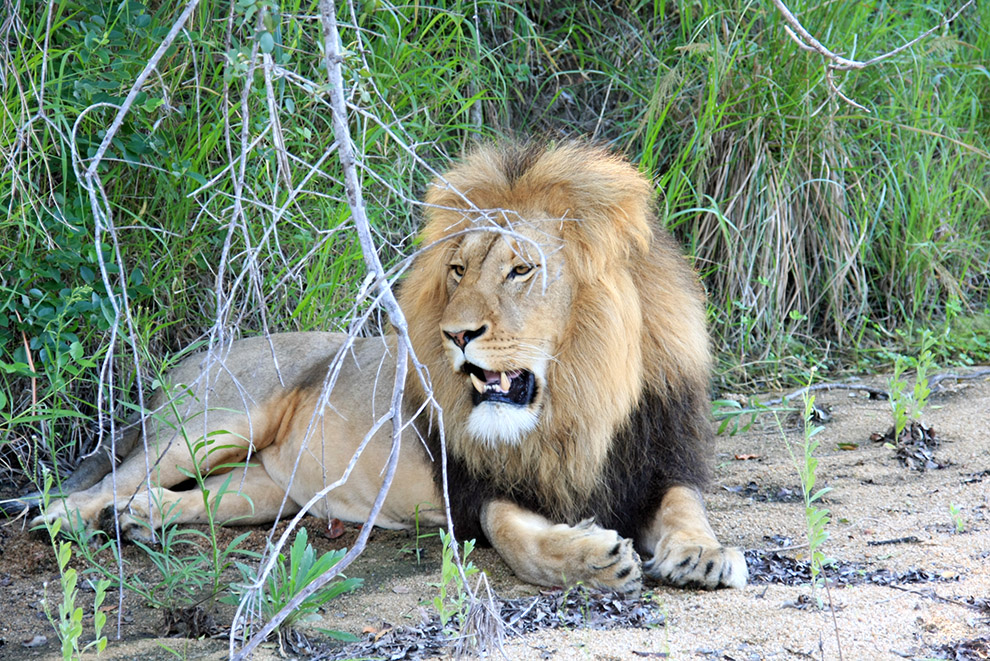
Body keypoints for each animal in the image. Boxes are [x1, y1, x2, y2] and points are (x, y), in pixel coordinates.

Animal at [29, 141, 747, 594]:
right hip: (213, 424)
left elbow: (686, 506)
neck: (577, 406)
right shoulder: (472, 491)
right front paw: (592, 560)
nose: (457, 333)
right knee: (104, 482)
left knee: (188, 497)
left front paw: (704, 554)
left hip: (269, 486)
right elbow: (513, 534)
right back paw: (69, 520)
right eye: (457, 270)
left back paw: (138, 519)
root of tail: (183, 362)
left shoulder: (660, 457)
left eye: (520, 269)